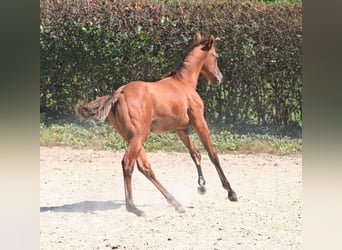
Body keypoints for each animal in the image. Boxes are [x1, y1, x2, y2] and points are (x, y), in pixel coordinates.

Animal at [77, 32, 238, 217]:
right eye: (216, 56)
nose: (219, 78)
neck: (184, 83)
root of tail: (119, 93)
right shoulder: (199, 121)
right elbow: (212, 154)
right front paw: (230, 192)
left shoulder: (180, 129)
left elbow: (195, 153)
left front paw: (202, 185)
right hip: (139, 136)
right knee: (128, 164)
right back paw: (134, 208)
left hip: (131, 137)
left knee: (145, 167)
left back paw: (175, 202)